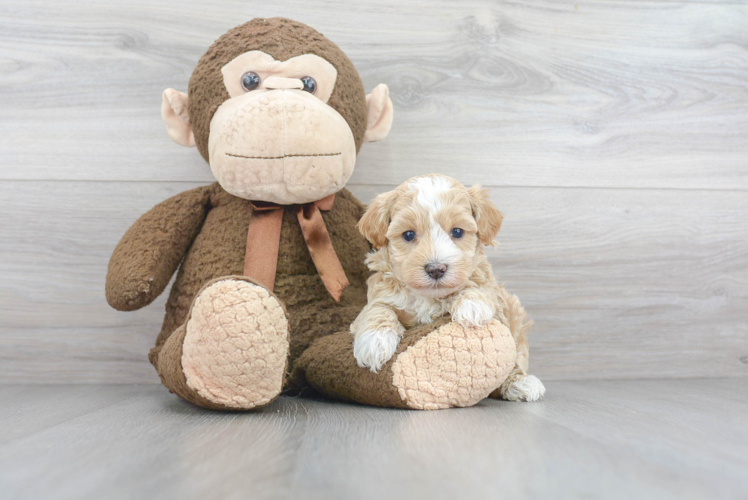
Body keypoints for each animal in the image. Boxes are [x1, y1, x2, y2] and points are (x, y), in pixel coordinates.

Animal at [350, 175, 544, 402]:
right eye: (408, 235)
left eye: (457, 232)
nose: (436, 269)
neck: (428, 297)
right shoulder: (380, 295)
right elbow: (377, 309)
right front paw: (375, 341)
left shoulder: (494, 292)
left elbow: (479, 287)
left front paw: (472, 305)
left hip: (516, 320)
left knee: (516, 357)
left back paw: (521, 383)